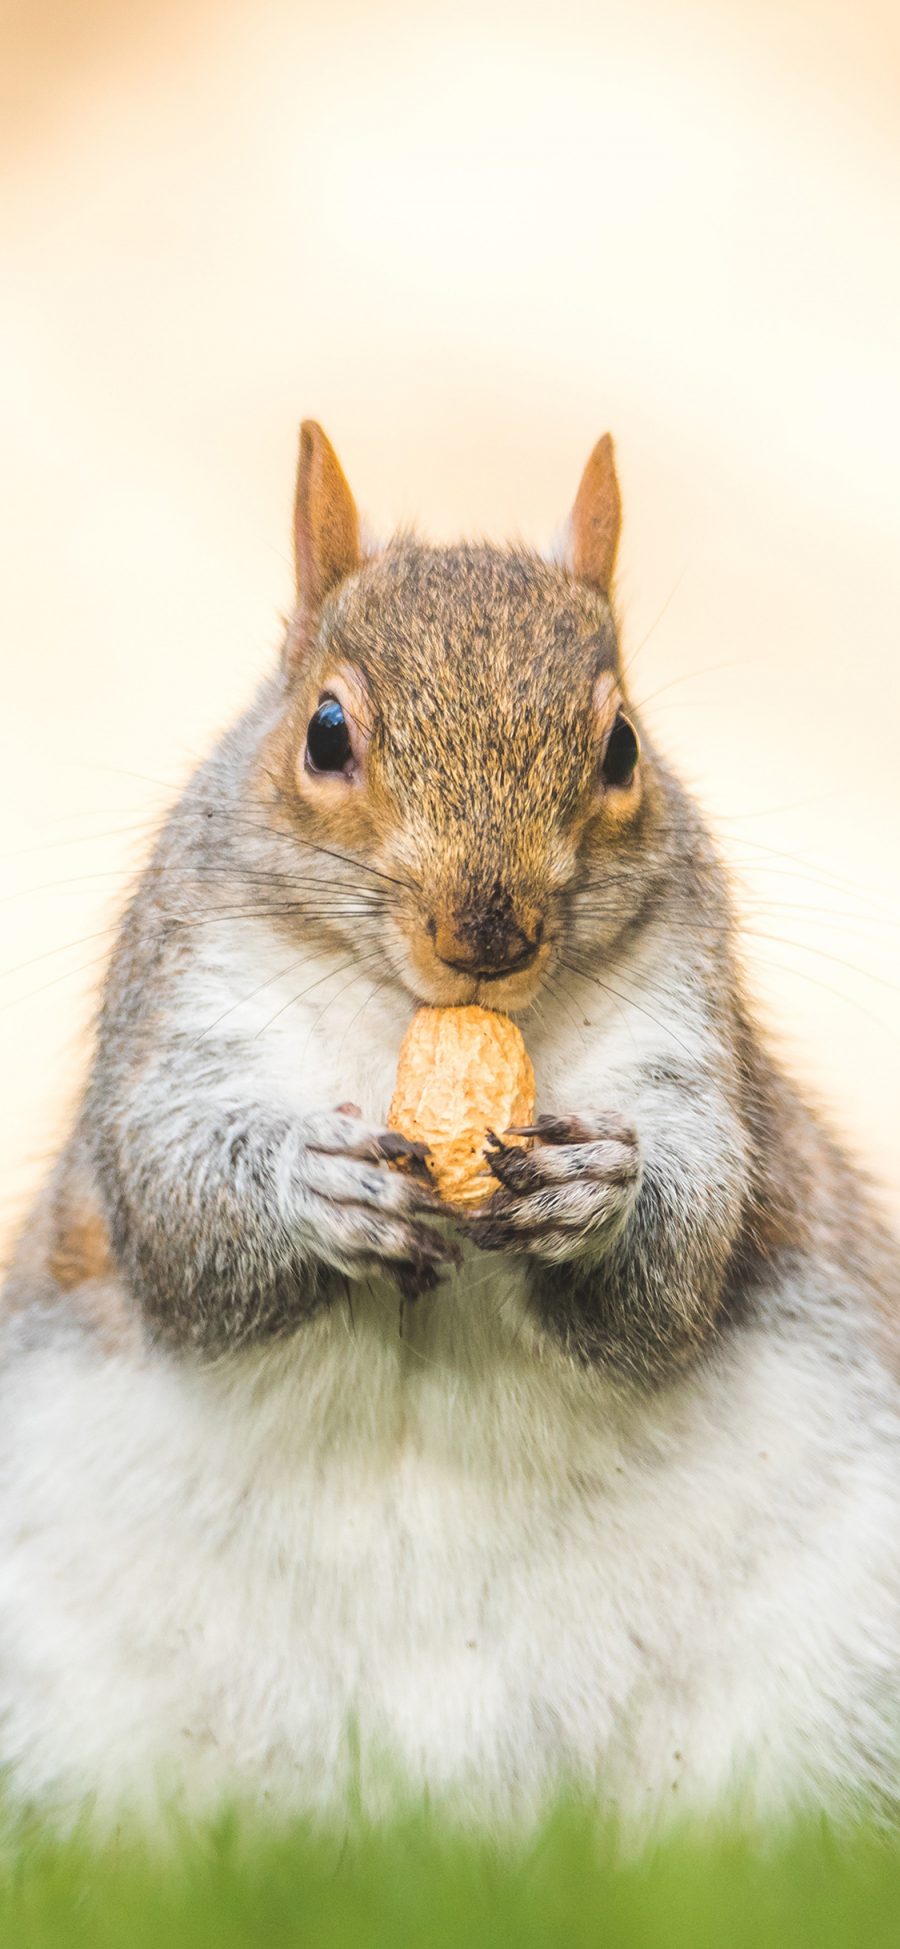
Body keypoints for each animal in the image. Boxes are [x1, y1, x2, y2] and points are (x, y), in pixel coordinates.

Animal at [1, 419, 900, 1832]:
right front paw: (309, 1188)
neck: (414, 1013)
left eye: (622, 747)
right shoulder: (175, 1022)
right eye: (324, 733)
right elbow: (176, 1220)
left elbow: (681, 1263)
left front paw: (603, 1191)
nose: (489, 931)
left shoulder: (689, 1036)